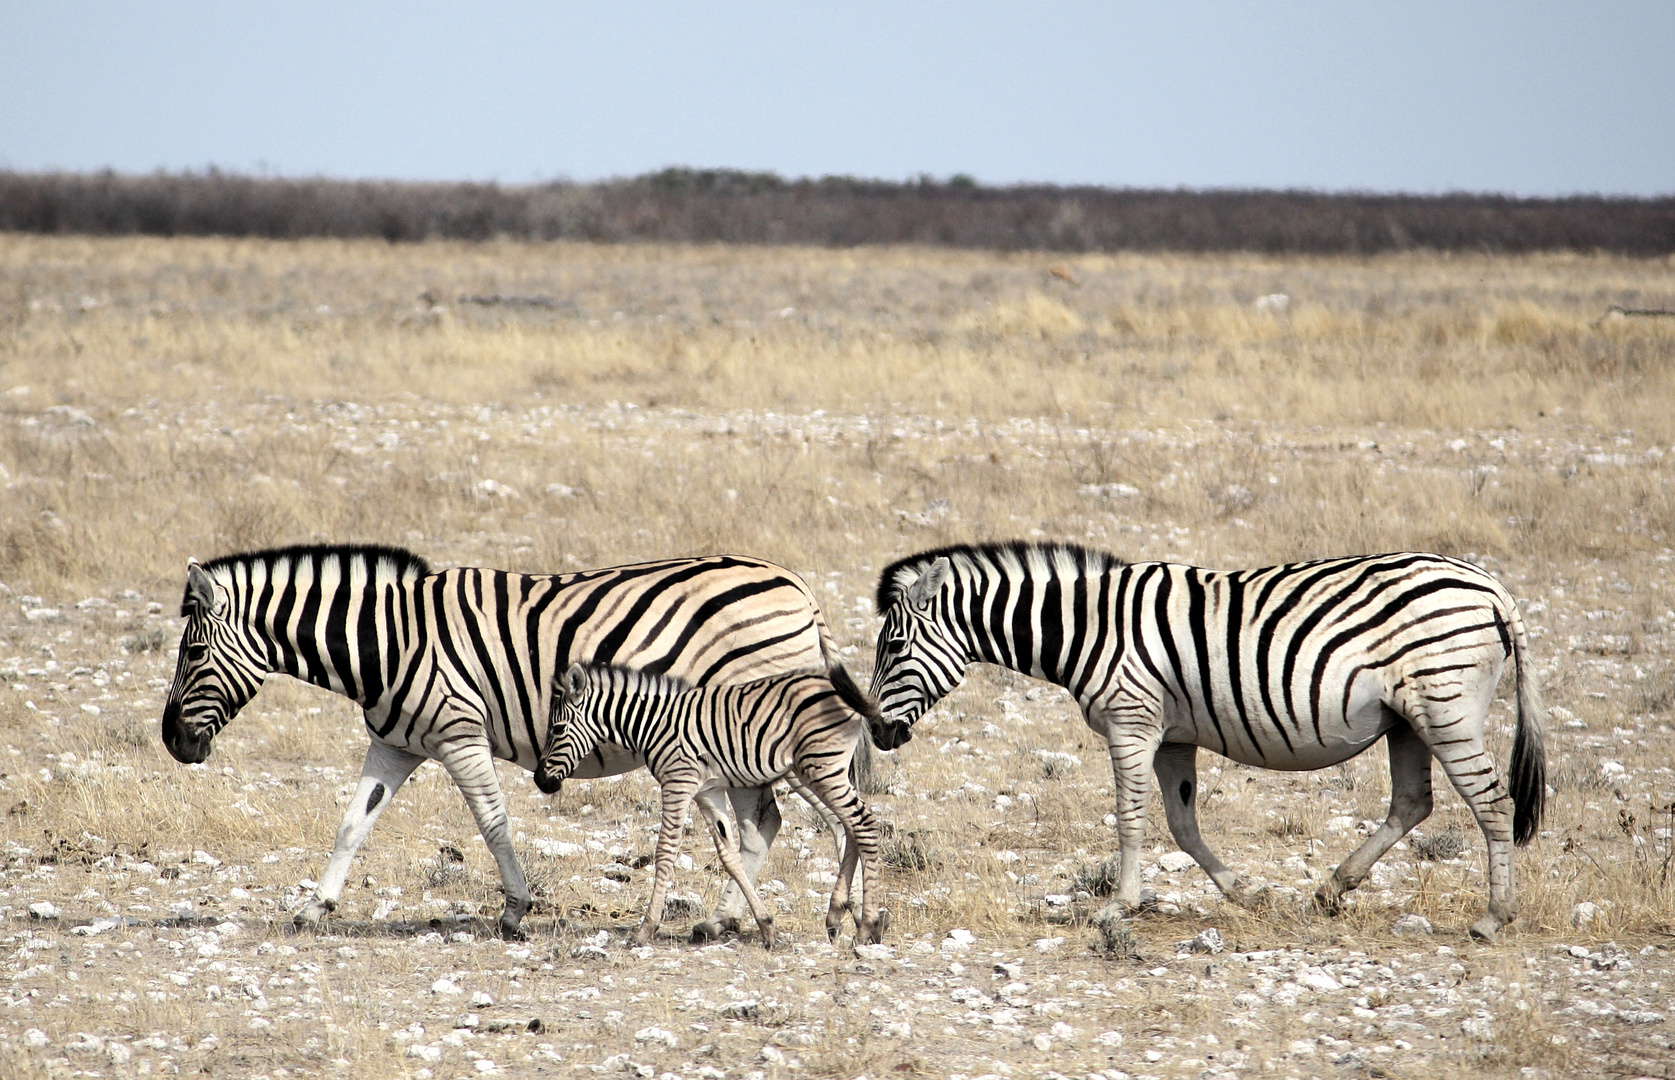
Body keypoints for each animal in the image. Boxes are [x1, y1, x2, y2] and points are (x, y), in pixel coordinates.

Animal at [157, 542, 864, 937]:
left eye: (193, 652)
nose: (172, 744)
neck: (388, 643)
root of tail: (798, 586)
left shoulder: (460, 733)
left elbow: (493, 822)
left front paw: (515, 910)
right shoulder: (396, 742)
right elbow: (352, 824)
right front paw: (314, 909)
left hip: (754, 729)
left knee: (788, 820)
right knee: (769, 823)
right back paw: (740, 919)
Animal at [539, 659, 891, 951]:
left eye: (556, 729)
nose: (542, 782)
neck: (652, 724)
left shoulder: (677, 782)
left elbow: (665, 852)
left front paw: (645, 929)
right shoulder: (707, 792)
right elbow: (729, 855)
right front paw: (766, 926)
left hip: (821, 766)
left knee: (863, 824)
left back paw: (867, 928)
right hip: (815, 769)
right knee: (848, 825)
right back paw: (836, 916)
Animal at [871, 542, 1547, 937]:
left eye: (895, 646)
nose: (876, 731)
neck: (1088, 627)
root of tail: (1492, 587)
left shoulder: (1132, 722)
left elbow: (1130, 817)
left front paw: (1118, 905)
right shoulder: (1173, 736)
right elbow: (1181, 824)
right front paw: (1246, 892)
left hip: (1445, 706)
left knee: (1491, 802)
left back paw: (1494, 917)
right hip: (1407, 719)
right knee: (1413, 802)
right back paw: (1331, 889)